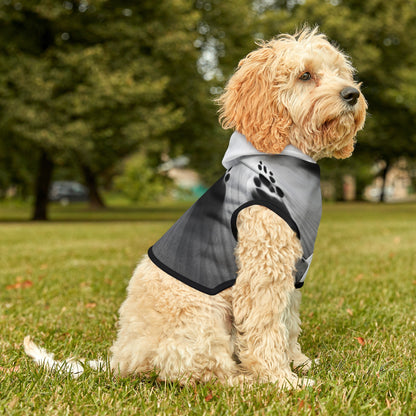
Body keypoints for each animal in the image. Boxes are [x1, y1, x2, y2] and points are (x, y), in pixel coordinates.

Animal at [24, 27, 366, 388]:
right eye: (305, 75)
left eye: (340, 72)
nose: (352, 94)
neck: (283, 156)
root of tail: (121, 359)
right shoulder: (262, 270)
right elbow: (266, 328)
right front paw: (281, 380)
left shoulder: (291, 270)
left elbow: (288, 323)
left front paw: (298, 363)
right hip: (202, 316)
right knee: (200, 371)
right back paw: (244, 380)